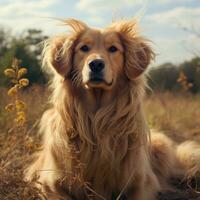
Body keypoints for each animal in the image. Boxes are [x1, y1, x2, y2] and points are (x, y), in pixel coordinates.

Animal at [25, 18, 200, 200]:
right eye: (84, 48)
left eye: (113, 48)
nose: (96, 64)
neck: (96, 120)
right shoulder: (50, 183)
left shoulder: (142, 181)